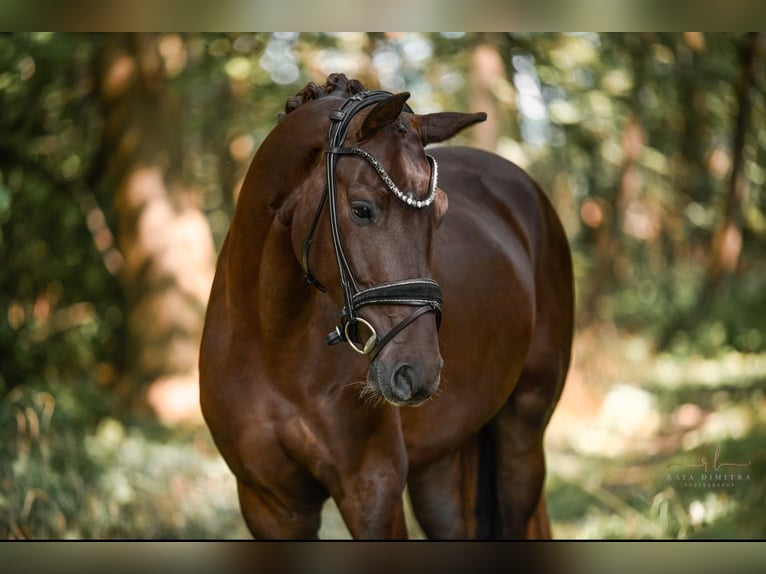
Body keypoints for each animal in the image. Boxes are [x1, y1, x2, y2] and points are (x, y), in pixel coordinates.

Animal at [201, 75, 572, 540]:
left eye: (441, 213)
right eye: (361, 209)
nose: (418, 372)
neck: (271, 346)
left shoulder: (372, 491)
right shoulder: (270, 505)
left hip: (522, 432)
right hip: (440, 462)